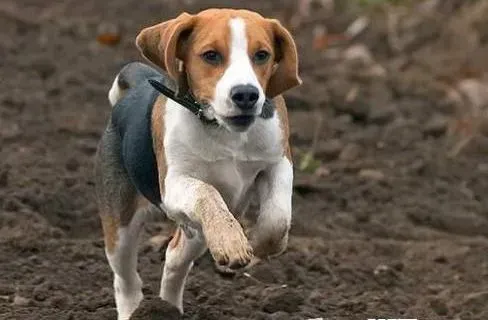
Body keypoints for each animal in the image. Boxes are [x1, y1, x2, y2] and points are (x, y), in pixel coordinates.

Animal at [95, 8, 302, 318]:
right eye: (211, 55)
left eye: (262, 55)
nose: (246, 94)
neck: (223, 130)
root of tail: (136, 85)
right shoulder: (174, 184)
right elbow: (206, 191)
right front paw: (233, 243)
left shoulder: (278, 161)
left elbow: (277, 219)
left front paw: (258, 245)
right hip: (120, 223)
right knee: (126, 278)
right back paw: (134, 309)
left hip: (196, 235)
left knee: (174, 257)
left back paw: (169, 307)